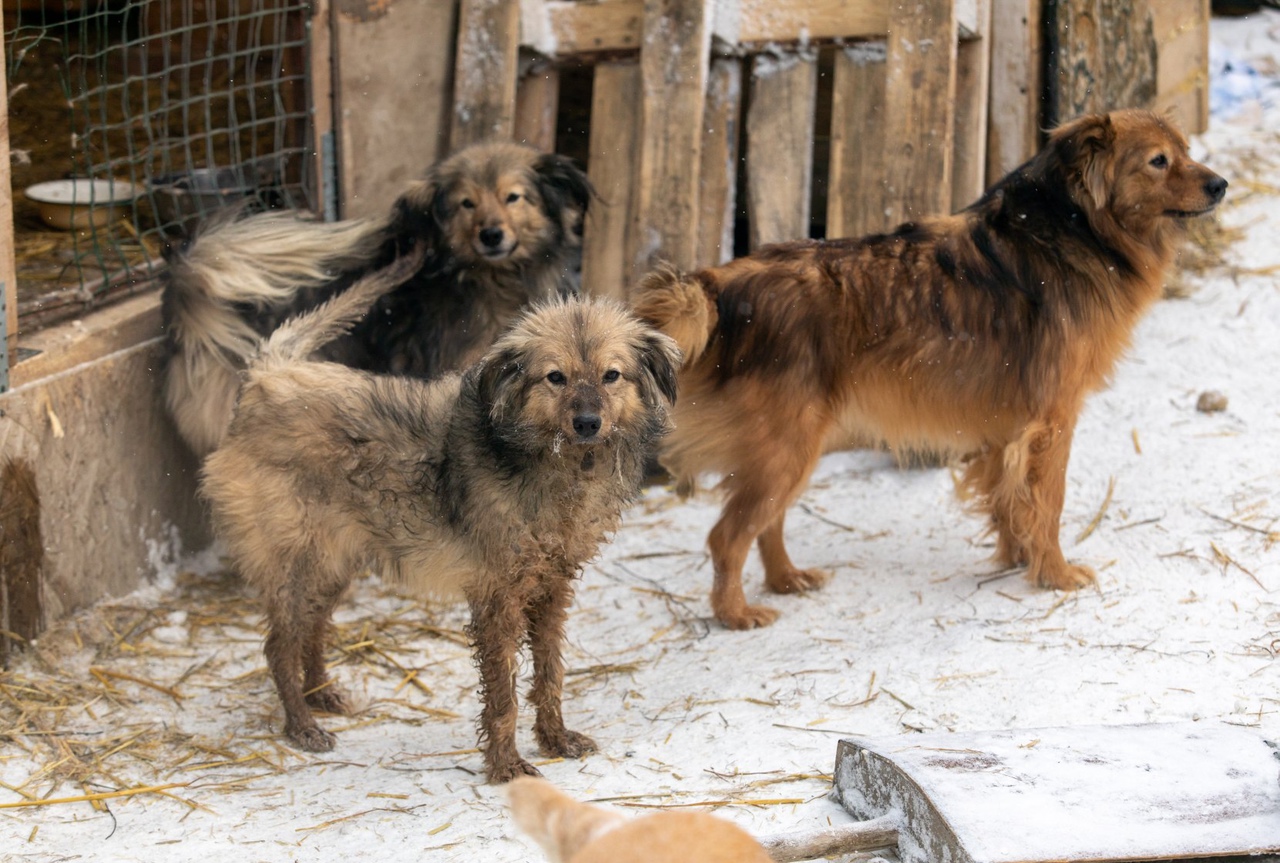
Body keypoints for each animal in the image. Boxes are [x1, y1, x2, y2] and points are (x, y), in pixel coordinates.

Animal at [199, 250, 680, 778]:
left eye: (612, 375)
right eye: (556, 377)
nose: (588, 423)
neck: (551, 461)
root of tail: (266, 377)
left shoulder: (552, 588)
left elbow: (550, 674)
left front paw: (554, 739)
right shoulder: (497, 598)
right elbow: (503, 696)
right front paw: (506, 766)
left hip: (332, 565)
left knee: (312, 630)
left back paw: (321, 696)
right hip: (296, 563)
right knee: (279, 645)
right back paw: (302, 725)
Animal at [634, 110, 1223, 627]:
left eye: (1186, 151)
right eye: (1159, 161)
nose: (1221, 185)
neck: (1073, 226)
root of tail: (721, 285)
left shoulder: (1006, 427)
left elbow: (1009, 501)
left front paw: (1017, 559)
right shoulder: (1051, 423)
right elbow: (1047, 504)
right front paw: (1054, 574)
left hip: (790, 449)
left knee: (766, 522)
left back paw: (786, 579)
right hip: (787, 447)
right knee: (727, 536)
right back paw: (735, 613)